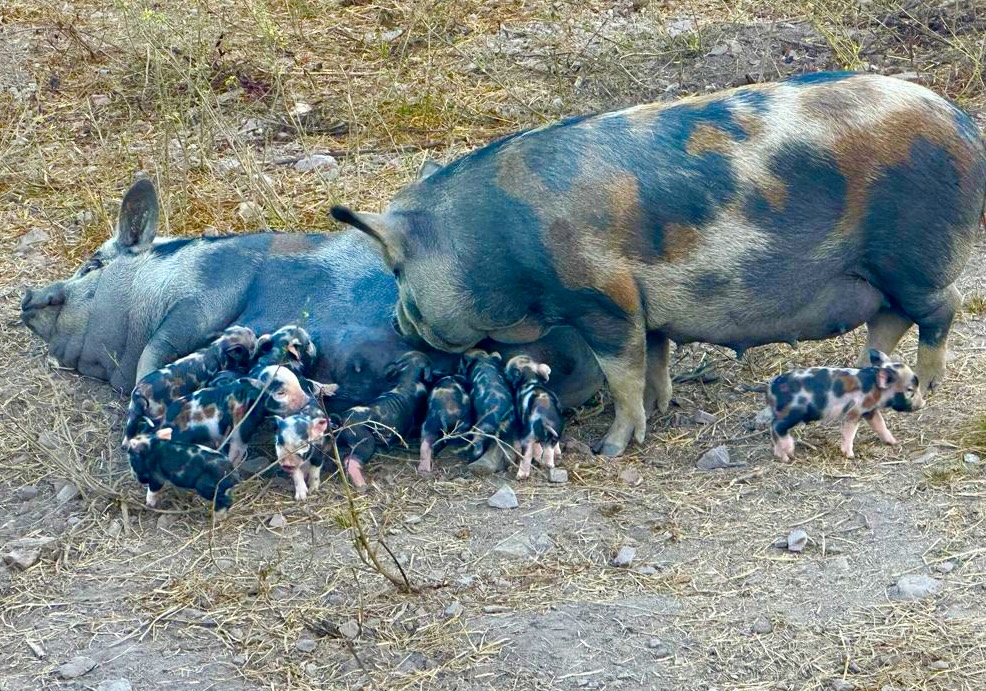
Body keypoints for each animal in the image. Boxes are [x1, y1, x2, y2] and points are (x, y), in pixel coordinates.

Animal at [122, 325, 257, 445]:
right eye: (252, 343)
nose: (255, 334)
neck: (218, 348)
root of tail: (139, 393)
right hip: (156, 414)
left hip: (133, 412)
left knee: (129, 432)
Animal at [767, 349, 923, 461]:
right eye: (910, 390)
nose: (923, 403)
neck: (875, 388)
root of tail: (772, 387)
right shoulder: (855, 411)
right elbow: (849, 433)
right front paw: (850, 456)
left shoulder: (870, 410)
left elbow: (880, 425)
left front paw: (894, 442)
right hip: (793, 412)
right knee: (777, 427)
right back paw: (788, 455)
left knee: (773, 428)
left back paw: (782, 455)